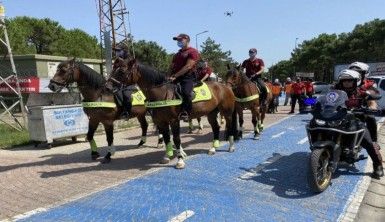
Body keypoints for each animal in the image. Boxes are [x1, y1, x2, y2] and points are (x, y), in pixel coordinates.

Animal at [108, 58, 238, 169]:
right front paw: (167, 156)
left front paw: (180, 160)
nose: (108, 86)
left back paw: (231, 146)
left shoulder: (174, 120)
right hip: (211, 113)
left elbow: (176, 139)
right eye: (113, 69)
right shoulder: (161, 121)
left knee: (229, 126)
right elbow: (166, 139)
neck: (162, 93)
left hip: (227, 112)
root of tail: (225, 86)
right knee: (216, 128)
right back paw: (213, 149)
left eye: (122, 71)